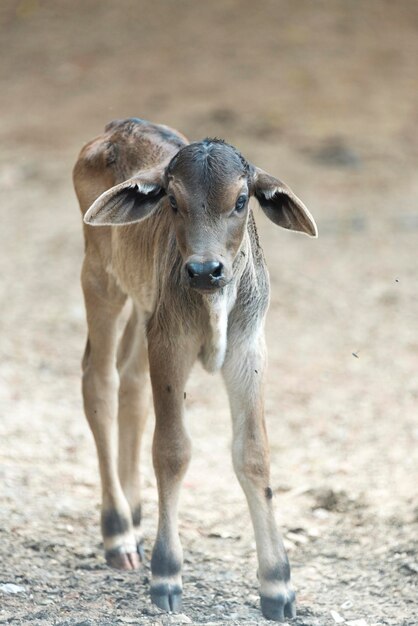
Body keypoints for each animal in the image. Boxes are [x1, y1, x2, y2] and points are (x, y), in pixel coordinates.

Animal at [73, 117, 318, 620]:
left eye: (242, 200)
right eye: (171, 199)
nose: (205, 270)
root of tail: (116, 128)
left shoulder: (248, 347)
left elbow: (254, 453)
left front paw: (278, 584)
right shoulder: (170, 343)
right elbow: (172, 450)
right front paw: (167, 573)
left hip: (143, 304)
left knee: (130, 382)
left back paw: (136, 513)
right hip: (100, 278)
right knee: (99, 381)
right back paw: (118, 531)